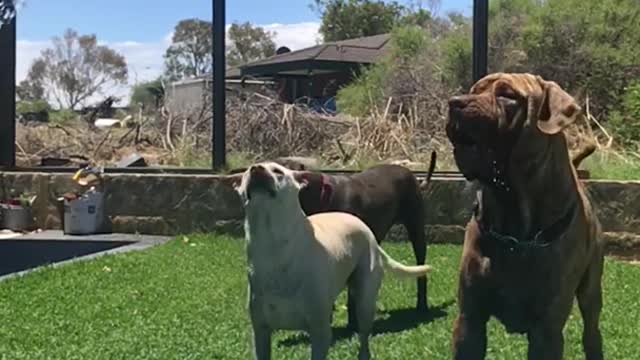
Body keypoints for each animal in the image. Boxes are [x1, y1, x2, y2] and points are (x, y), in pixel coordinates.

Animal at [232, 162, 432, 358]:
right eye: (247, 172)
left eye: (278, 171)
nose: (256, 169)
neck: (275, 249)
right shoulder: (261, 333)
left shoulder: (320, 332)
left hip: (367, 298)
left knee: (364, 337)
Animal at [444, 73, 604, 360]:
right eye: (475, 89)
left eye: (508, 95)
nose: (455, 102)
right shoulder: (470, 320)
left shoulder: (547, 331)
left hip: (591, 291)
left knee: (592, 330)